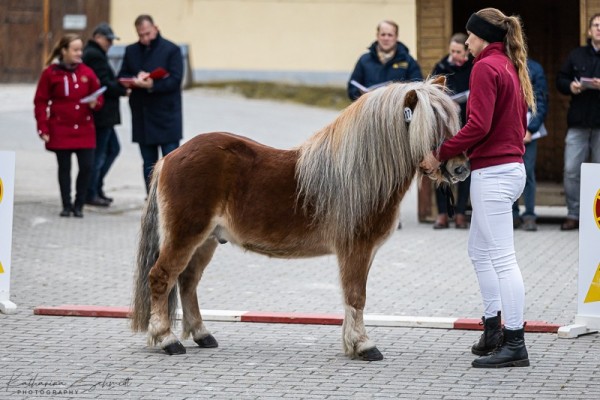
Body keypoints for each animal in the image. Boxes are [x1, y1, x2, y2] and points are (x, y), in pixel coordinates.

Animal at [130, 75, 468, 360]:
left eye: (453, 123)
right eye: (432, 126)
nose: (460, 169)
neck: (359, 173)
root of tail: (171, 156)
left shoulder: (365, 252)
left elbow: (355, 297)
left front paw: (353, 343)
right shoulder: (354, 249)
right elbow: (356, 296)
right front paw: (363, 346)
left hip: (206, 240)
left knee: (187, 281)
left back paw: (202, 334)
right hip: (186, 235)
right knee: (161, 278)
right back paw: (167, 339)